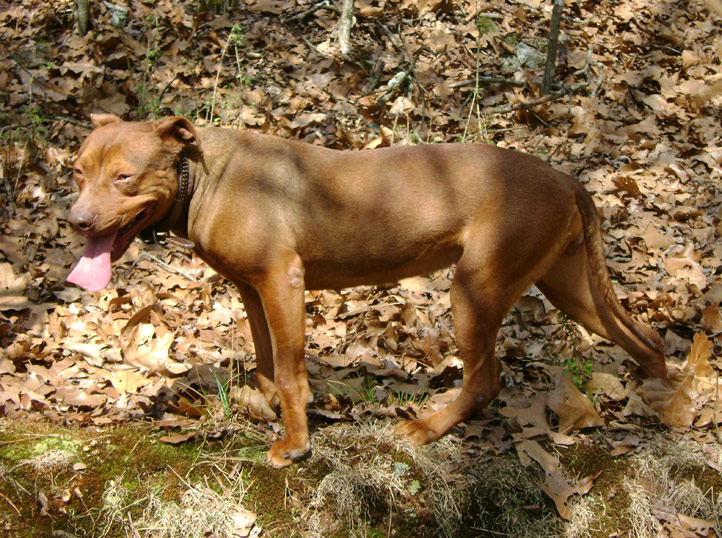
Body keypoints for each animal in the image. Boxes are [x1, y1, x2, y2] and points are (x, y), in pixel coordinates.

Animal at [66, 116, 664, 464]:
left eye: (123, 176)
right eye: (77, 171)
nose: (76, 221)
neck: (202, 174)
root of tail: (565, 178)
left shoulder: (283, 279)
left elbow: (289, 372)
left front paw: (295, 444)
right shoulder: (252, 289)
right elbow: (265, 362)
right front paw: (263, 406)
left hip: (476, 287)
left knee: (485, 380)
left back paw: (425, 428)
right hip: (568, 284)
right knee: (645, 336)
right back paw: (661, 398)